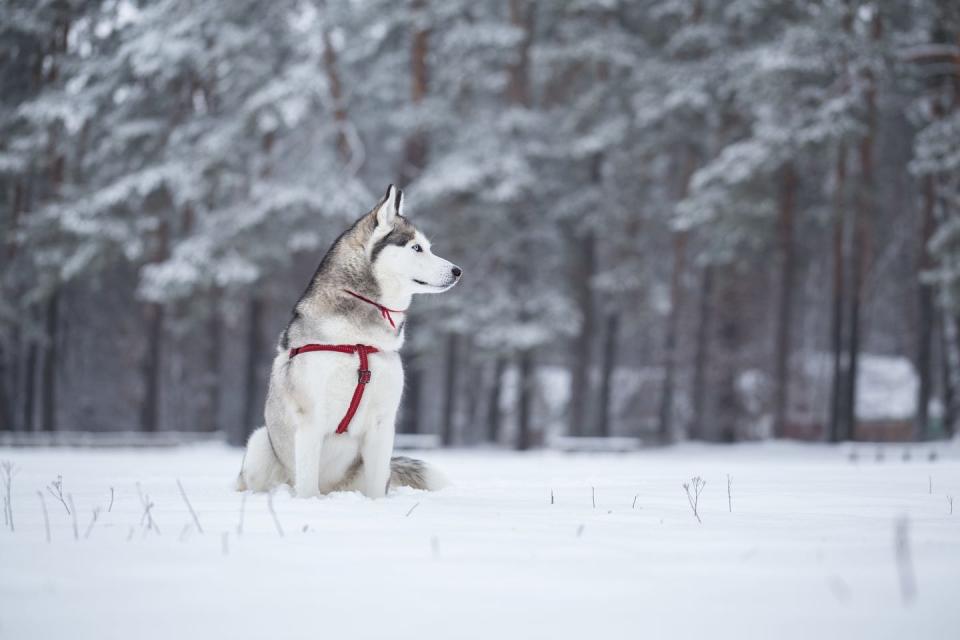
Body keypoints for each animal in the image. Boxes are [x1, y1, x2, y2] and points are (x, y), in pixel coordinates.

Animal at [240, 182, 464, 498]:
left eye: (428, 247)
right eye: (416, 247)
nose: (458, 271)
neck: (358, 344)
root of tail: (332, 489)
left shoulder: (382, 424)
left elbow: (377, 488)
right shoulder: (310, 419)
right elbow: (306, 484)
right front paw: (307, 503)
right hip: (260, 444)